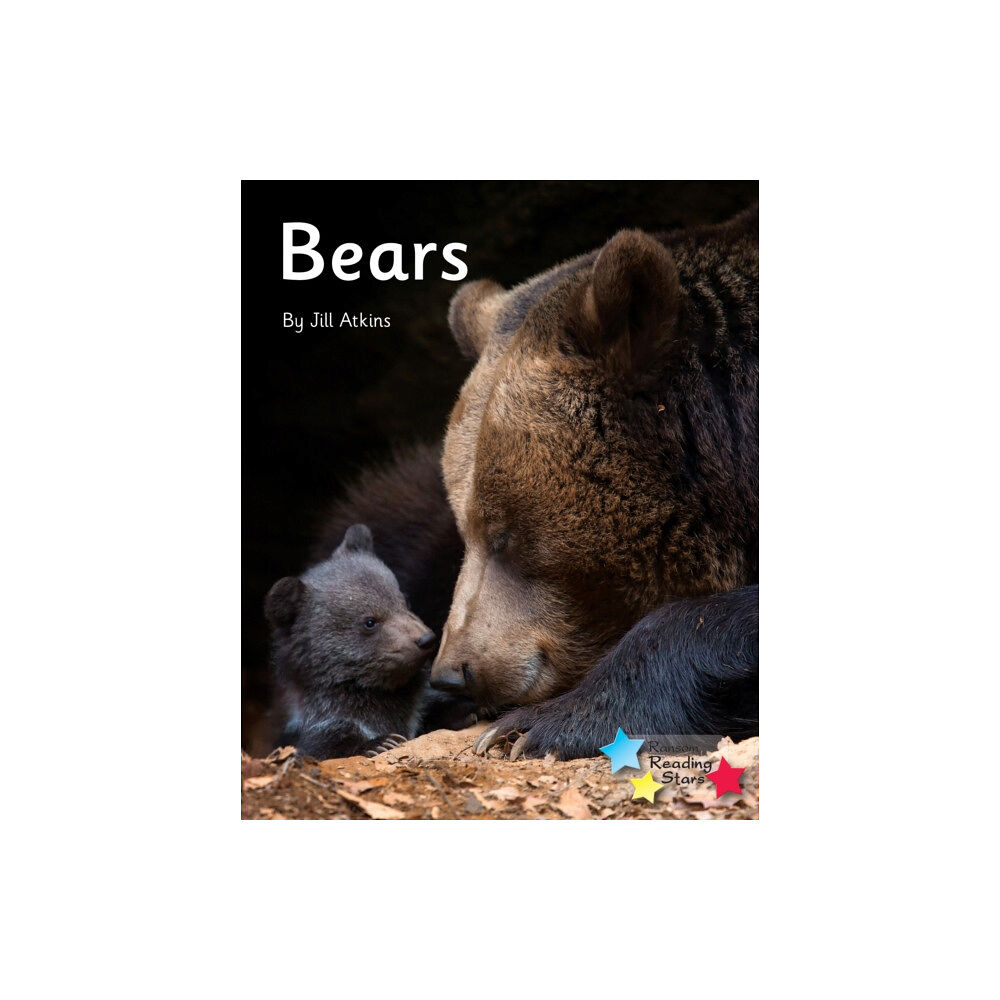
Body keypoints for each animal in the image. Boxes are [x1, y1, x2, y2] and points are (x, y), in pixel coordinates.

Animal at [265, 523, 449, 759]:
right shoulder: (326, 719)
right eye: (370, 621)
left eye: (403, 600)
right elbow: (327, 744)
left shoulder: (418, 702)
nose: (426, 639)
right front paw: (380, 742)